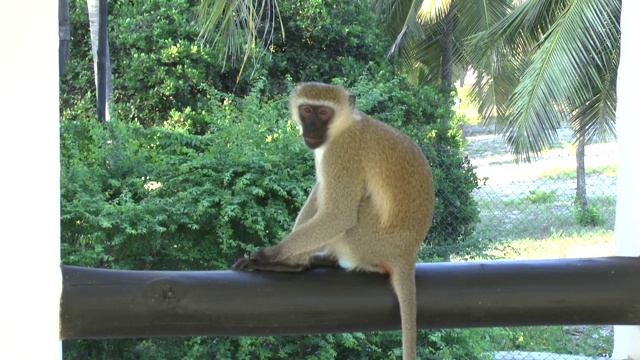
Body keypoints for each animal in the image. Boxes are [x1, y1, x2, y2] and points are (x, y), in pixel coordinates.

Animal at [231, 81, 436, 360]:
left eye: (324, 113)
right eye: (307, 110)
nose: (312, 129)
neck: (344, 126)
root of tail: (406, 255)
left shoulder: (341, 154)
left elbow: (339, 215)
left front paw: (269, 255)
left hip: (367, 240)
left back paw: (294, 264)